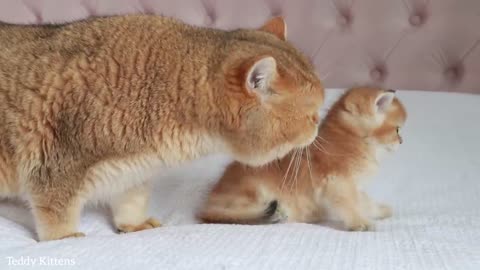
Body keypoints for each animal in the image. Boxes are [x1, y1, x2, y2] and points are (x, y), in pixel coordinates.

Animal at [0, 15, 324, 242]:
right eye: (311, 116)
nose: (318, 128)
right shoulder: (58, 165)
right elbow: (56, 212)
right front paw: (65, 239)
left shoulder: (132, 171)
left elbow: (130, 202)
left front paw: (133, 225)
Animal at [198, 87, 404, 231]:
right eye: (397, 130)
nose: (402, 141)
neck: (350, 140)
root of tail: (207, 205)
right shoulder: (338, 182)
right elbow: (350, 204)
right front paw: (359, 222)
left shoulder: (354, 186)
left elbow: (365, 201)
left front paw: (380, 210)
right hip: (253, 189)